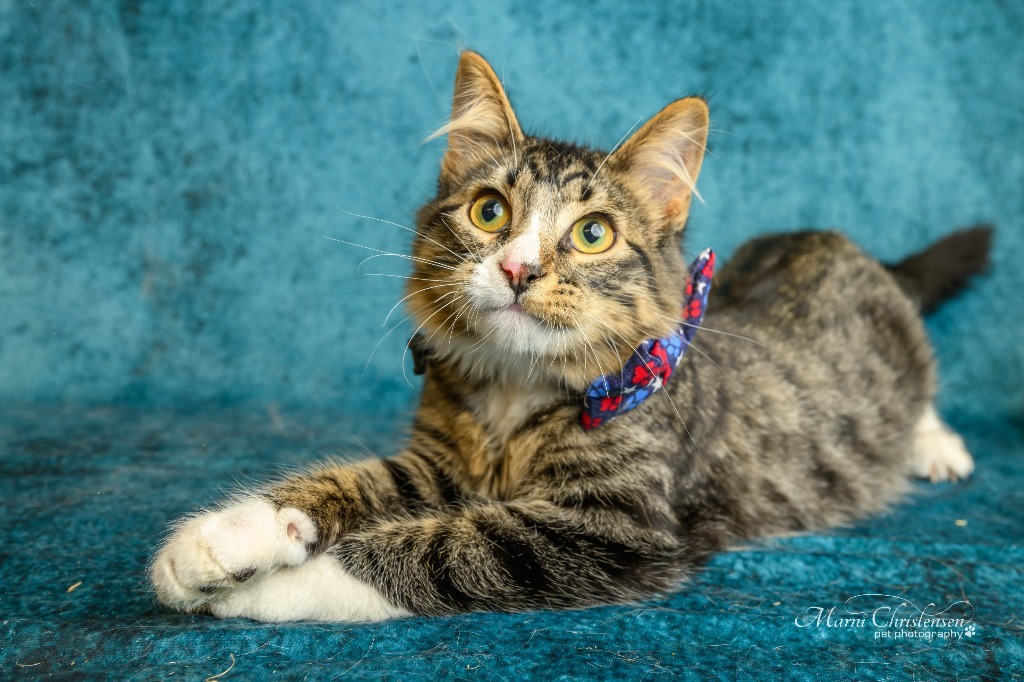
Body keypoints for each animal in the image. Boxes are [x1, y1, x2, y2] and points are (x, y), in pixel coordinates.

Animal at [149, 51, 991, 622]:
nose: (519, 269)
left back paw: (938, 448)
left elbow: (431, 549)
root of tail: (832, 241)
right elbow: (348, 483)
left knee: (917, 394)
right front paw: (223, 541)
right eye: (489, 212)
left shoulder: (613, 525)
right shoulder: (439, 465)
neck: (513, 392)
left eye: (592, 234)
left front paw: (271, 588)